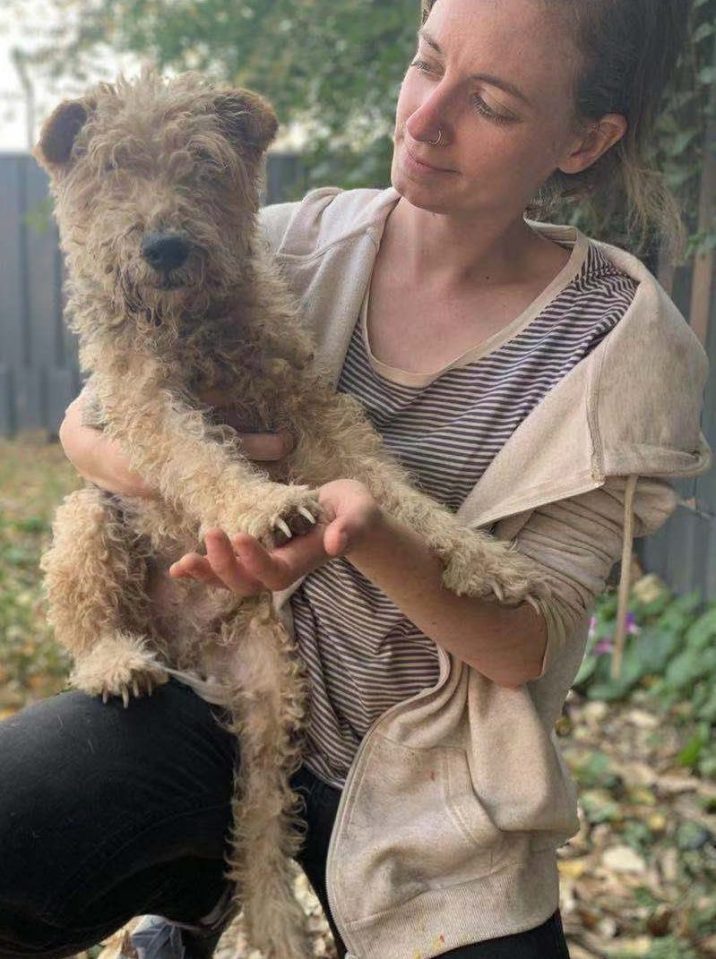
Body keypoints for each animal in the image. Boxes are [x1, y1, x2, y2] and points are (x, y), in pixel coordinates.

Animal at [32, 73, 548, 959]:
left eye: (203, 164)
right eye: (112, 168)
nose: (164, 246)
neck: (197, 325)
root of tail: (186, 647)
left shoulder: (310, 410)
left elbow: (390, 485)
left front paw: (477, 554)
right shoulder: (144, 404)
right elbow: (200, 457)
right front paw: (259, 504)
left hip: (273, 696)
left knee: (262, 826)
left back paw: (275, 919)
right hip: (89, 522)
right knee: (92, 613)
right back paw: (116, 661)